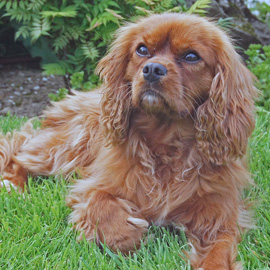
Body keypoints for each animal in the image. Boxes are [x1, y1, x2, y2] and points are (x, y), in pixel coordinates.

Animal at [0, 13, 258, 270]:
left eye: (191, 56)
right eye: (142, 50)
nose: (152, 68)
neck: (166, 139)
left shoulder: (220, 218)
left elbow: (218, 254)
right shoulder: (94, 183)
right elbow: (101, 206)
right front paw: (129, 233)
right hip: (72, 144)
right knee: (20, 152)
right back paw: (13, 185)